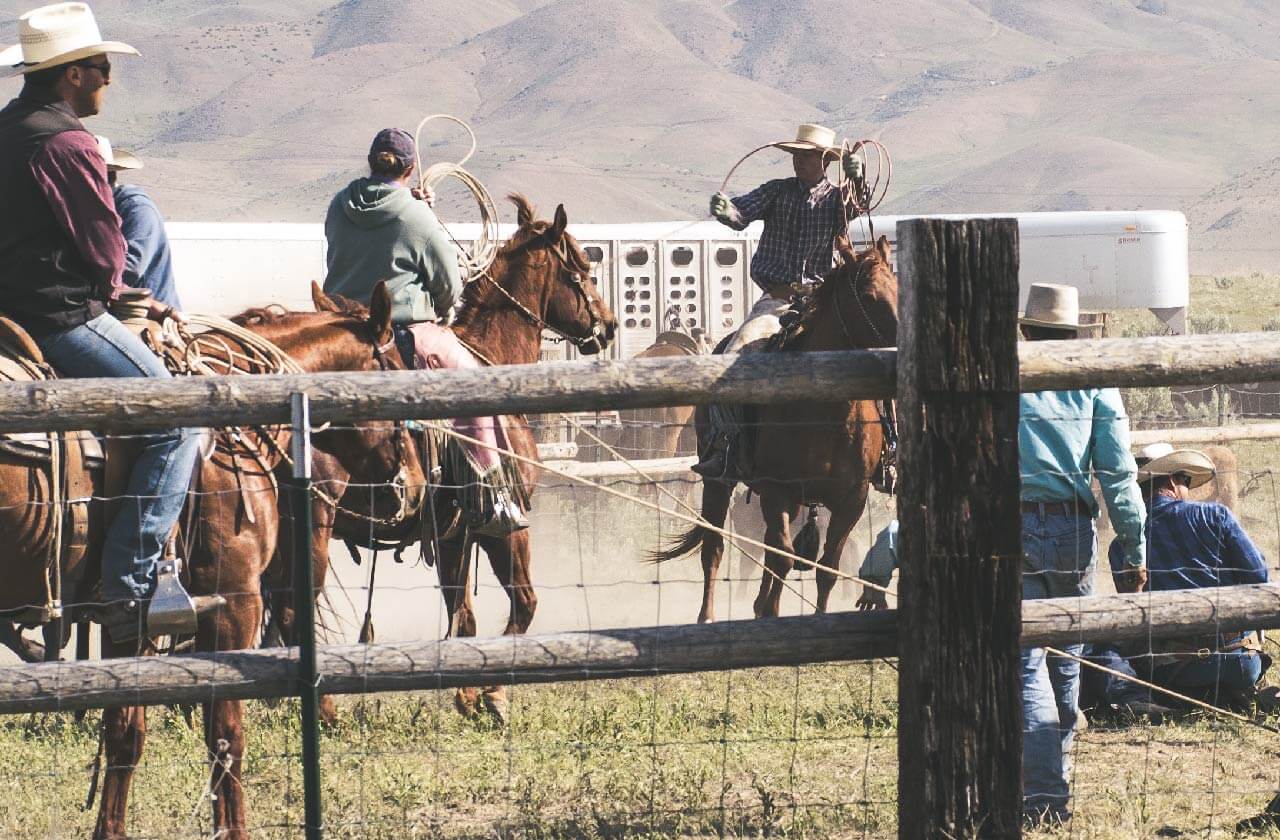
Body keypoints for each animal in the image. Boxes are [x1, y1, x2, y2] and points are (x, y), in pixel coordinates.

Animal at [0, 281, 424, 840]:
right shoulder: (233, 604)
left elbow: (124, 734)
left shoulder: (127, 621)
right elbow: (225, 737)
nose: (415, 487)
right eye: (395, 368)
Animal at [650, 235, 901, 622]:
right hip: (718, 481)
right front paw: (769, 610)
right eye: (869, 296)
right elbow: (783, 556)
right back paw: (709, 616)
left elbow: (828, 566)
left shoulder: (852, 498)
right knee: (715, 548)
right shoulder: (777, 490)